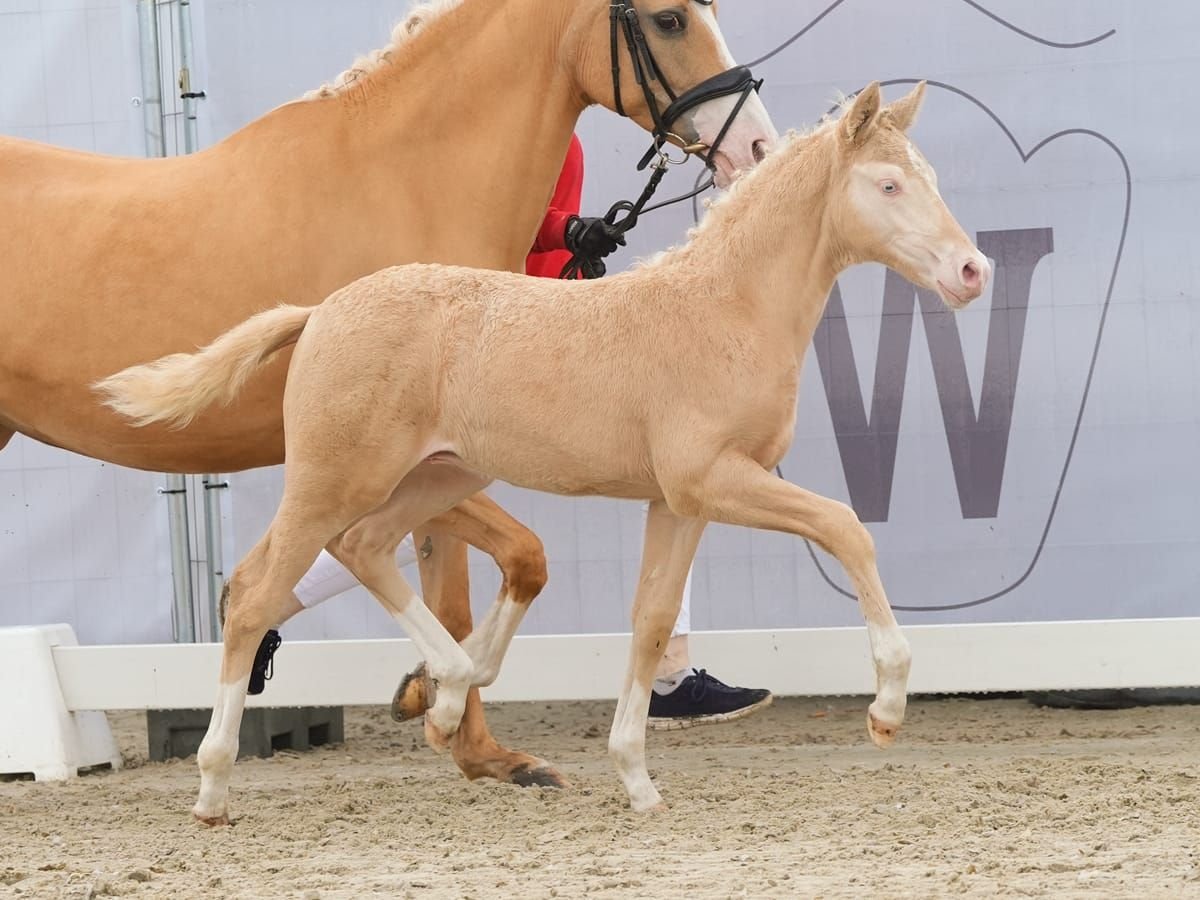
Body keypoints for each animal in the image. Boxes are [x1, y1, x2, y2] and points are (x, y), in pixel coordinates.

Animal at [0, 0, 772, 787]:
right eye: (669, 19)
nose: (755, 143)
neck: (404, 180)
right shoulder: (408, 458)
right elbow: (488, 577)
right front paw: (460, 727)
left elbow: (473, 587)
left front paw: (468, 737)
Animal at [98, 81, 988, 820]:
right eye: (889, 184)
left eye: (932, 176)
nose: (971, 271)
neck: (723, 309)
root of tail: (318, 311)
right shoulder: (714, 479)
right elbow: (845, 527)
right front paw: (886, 708)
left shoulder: (679, 500)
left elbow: (651, 621)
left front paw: (636, 779)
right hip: (336, 477)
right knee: (256, 594)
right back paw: (216, 786)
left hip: (431, 476)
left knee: (359, 549)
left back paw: (446, 693)